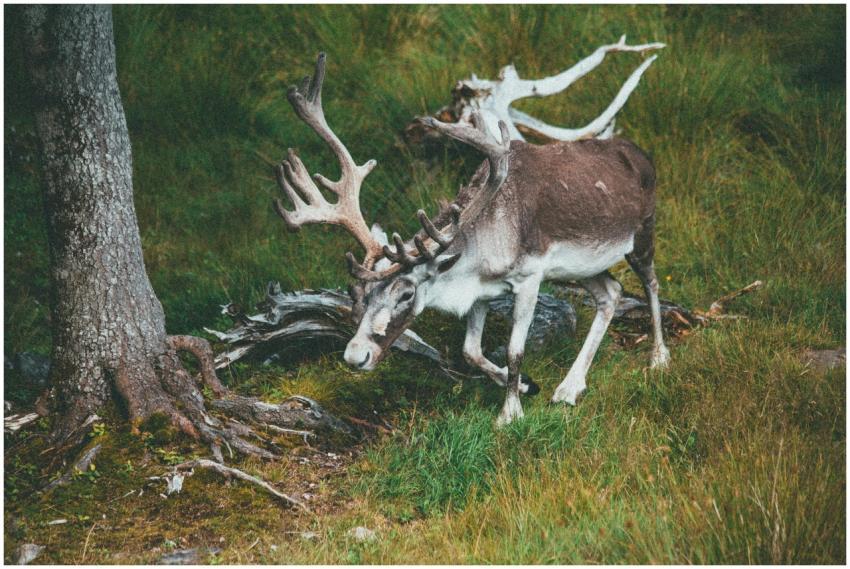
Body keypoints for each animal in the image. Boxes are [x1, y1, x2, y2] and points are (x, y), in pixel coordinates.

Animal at [273, 53, 670, 426]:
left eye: (406, 294)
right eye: (358, 294)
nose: (356, 356)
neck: (482, 255)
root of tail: (643, 156)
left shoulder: (530, 276)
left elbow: (513, 350)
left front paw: (510, 413)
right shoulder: (481, 292)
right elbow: (470, 351)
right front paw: (528, 385)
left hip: (643, 230)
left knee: (650, 282)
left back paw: (658, 358)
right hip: (582, 268)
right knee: (612, 292)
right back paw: (569, 388)